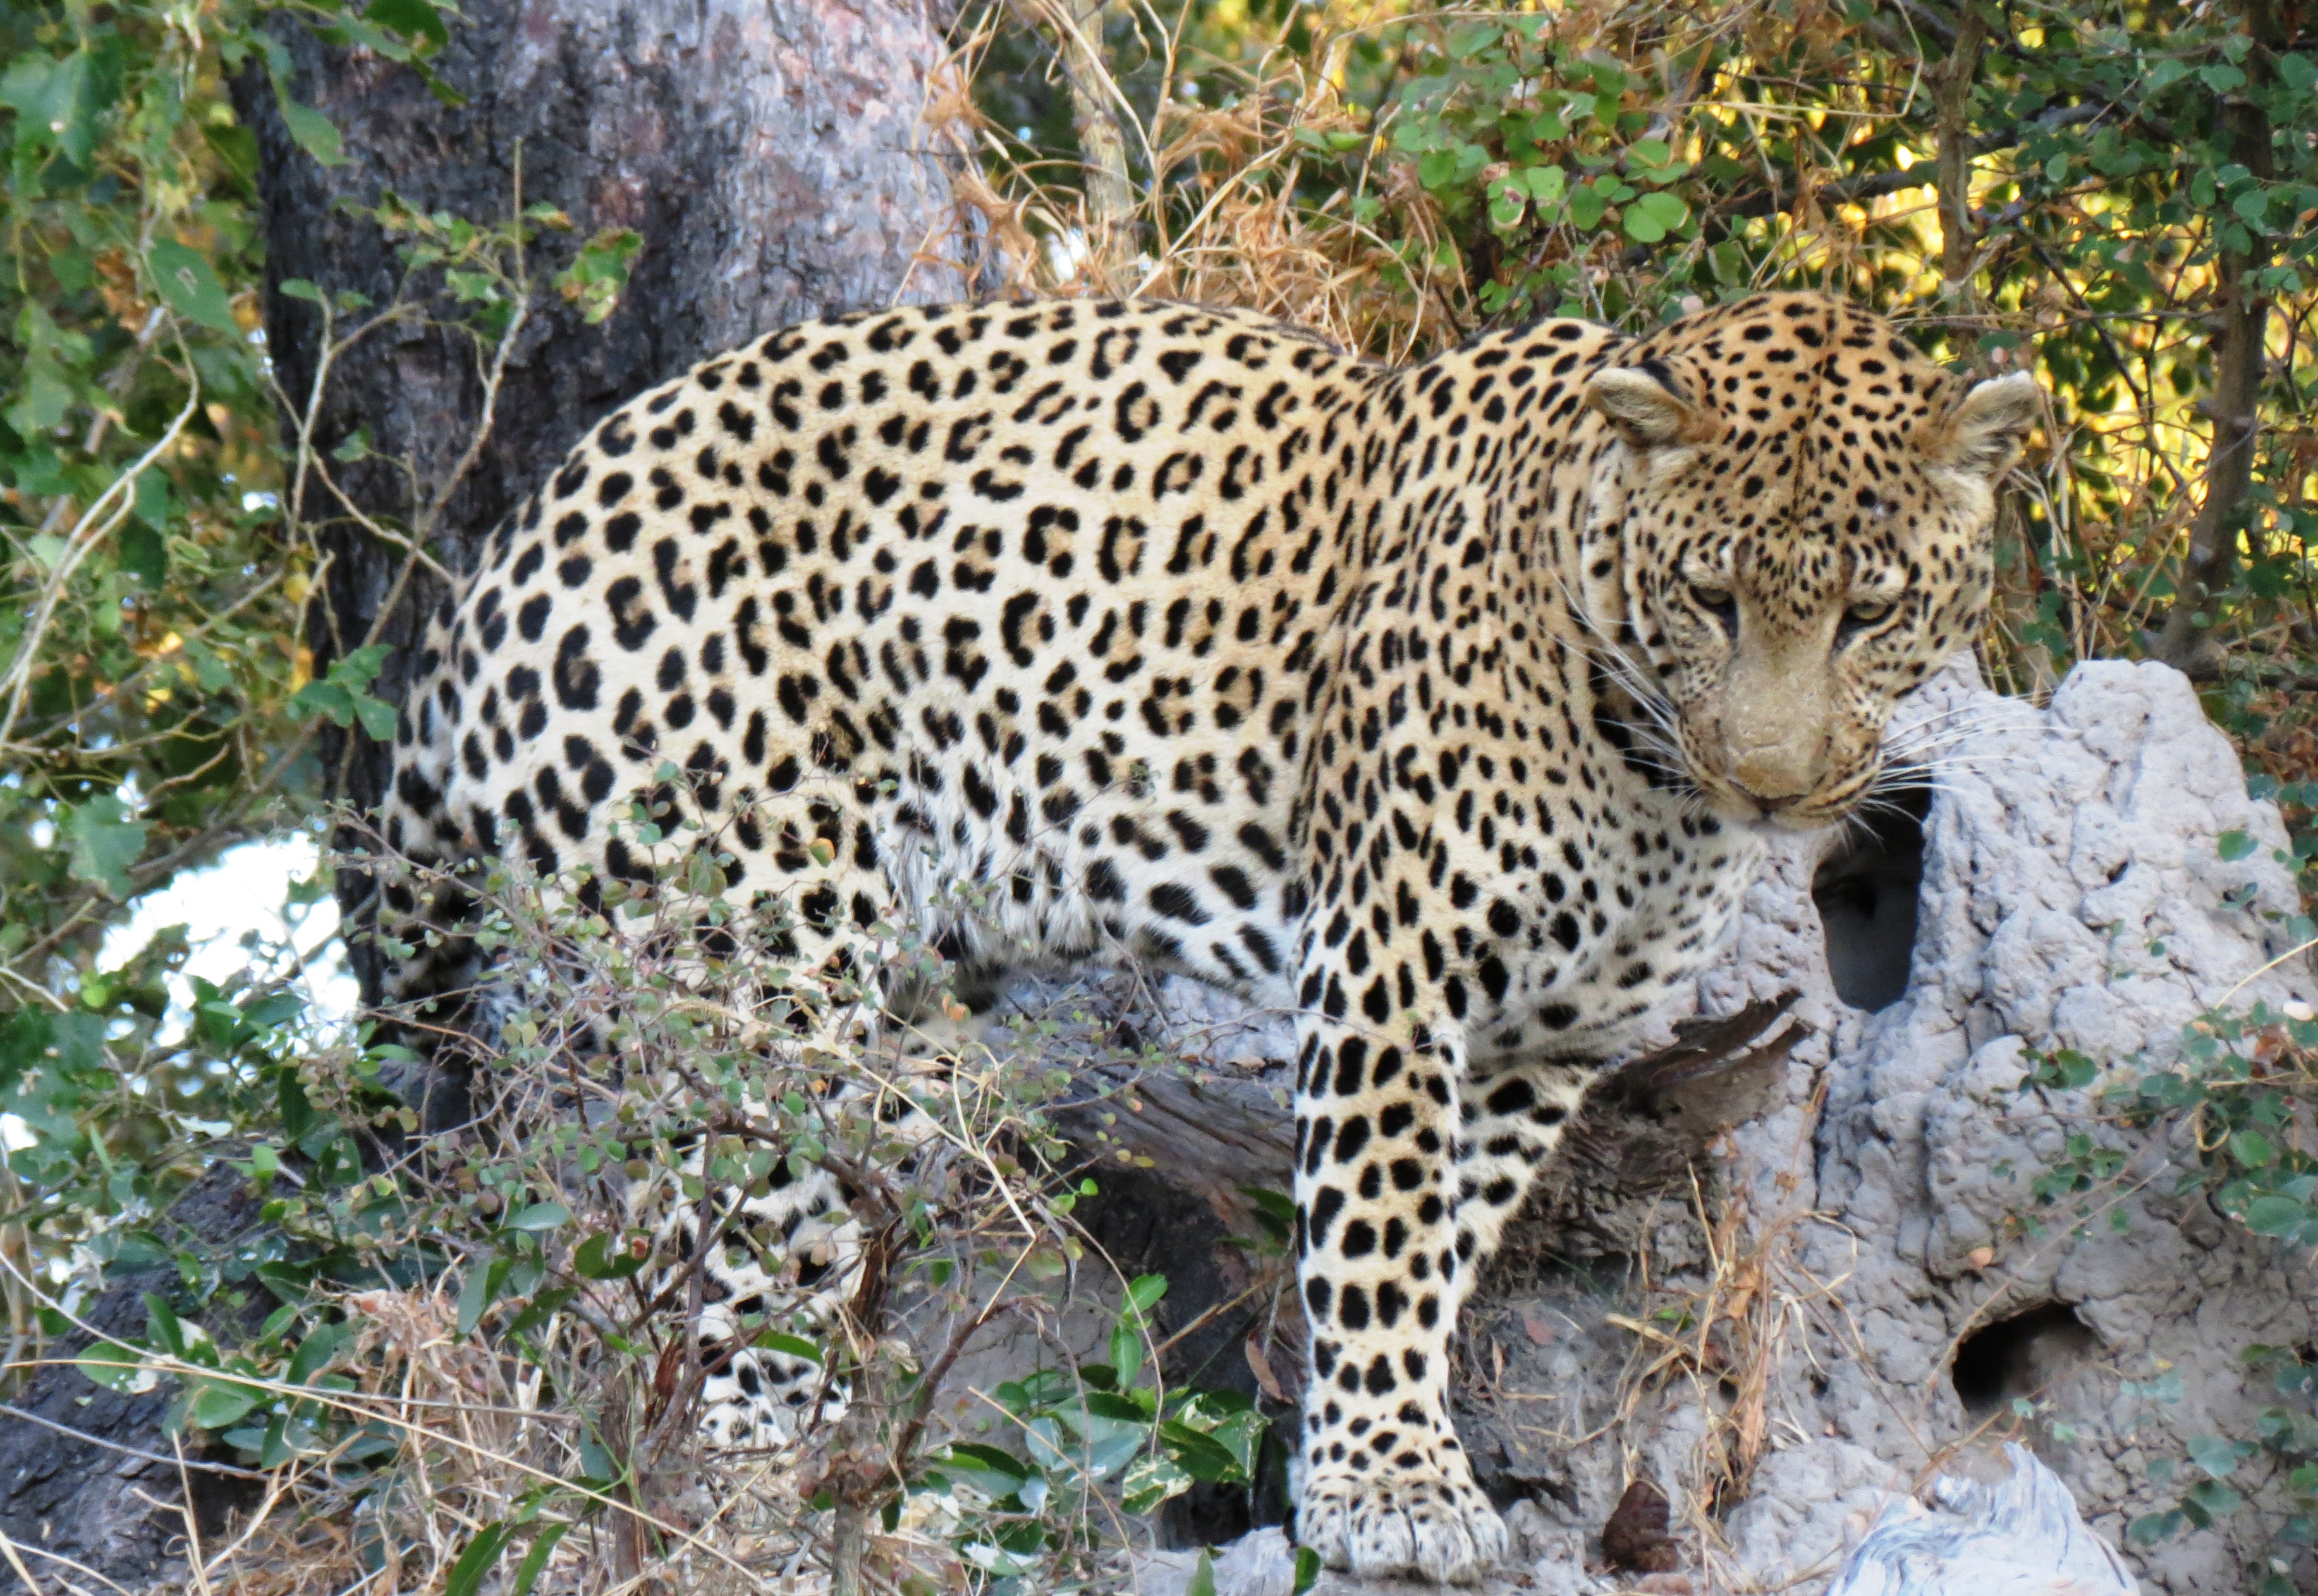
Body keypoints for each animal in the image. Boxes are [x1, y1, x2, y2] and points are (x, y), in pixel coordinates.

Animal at [370, 289, 2039, 1584]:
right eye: (1708, 597)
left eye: (1868, 612)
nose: (1773, 781)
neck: (1646, 768)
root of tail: (507, 548)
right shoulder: (1386, 965)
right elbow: (1376, 1231)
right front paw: (1389, 1492)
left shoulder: (1540, 1042)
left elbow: (1440, 1247)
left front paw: (1368, 1455)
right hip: (755, 972)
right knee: (704, 1318)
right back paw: (761, 1524)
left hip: (895, 1027)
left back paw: (880, 1506)